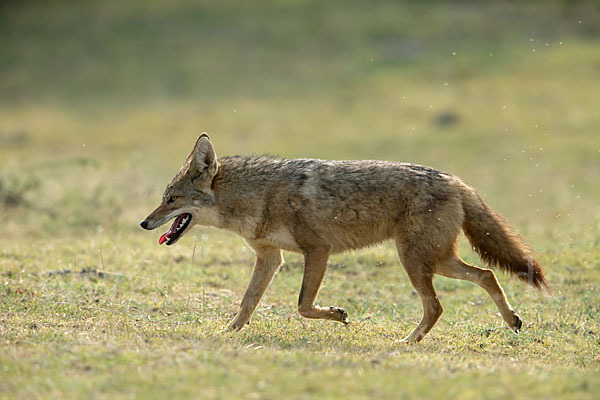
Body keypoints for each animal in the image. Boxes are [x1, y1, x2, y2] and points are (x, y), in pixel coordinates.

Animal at [142, 133, 548, 342]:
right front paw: (227, 333)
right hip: (435, 260)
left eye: (171, 200)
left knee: (438, 305)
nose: (145, 224)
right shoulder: (271, 258)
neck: (258, 195)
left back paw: (407, 343)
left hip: (416, 261)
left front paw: (338, 315)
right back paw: (512, 321)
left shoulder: (317, 250)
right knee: (487, 275)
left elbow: (303, 306)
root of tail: (456, 180)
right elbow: (246, 304)